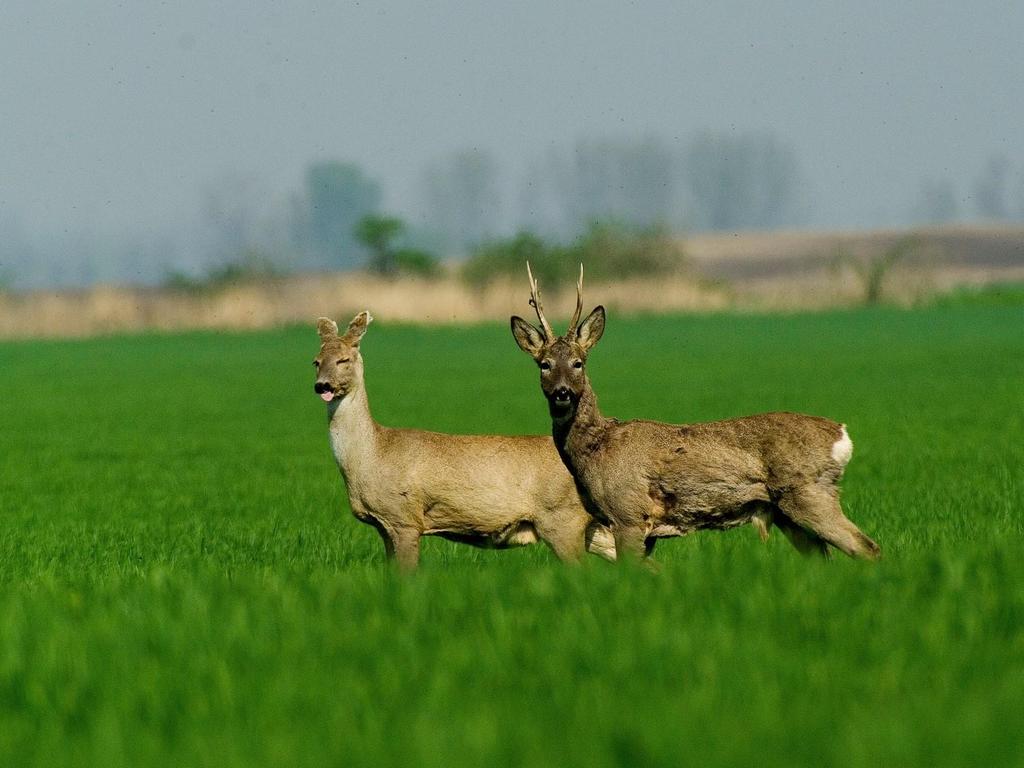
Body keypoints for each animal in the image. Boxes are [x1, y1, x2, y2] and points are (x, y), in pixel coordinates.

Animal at [311, 313, 614, 573]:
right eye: (316, 361)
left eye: (344, 360)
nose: (322, 385)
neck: (373, 453)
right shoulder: (383, 526)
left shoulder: (404, 518)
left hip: (562, 518)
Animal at [512, 266, 880, 565]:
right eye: (544, 363)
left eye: (579, 362)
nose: (562, 392)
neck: (597, 448)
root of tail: (841, 435)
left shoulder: (629, 512)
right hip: (788, 513)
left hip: (809, 492)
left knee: (867, 548)